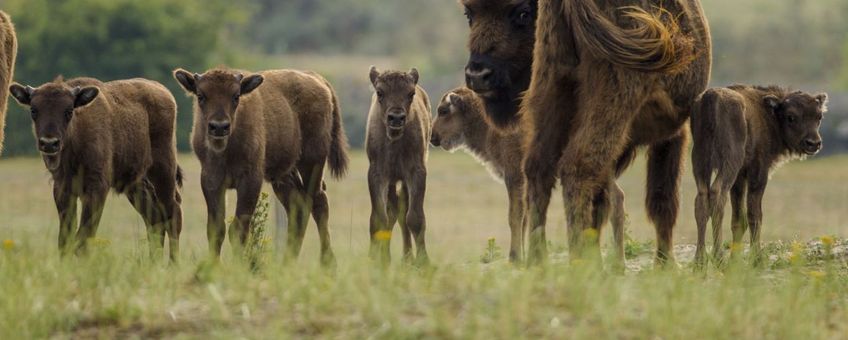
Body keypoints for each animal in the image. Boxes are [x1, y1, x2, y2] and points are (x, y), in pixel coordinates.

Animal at [9, 77, 182, 260]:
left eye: (68, 111)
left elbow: (83, 239)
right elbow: (65, 239)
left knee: (173, 213)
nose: (49, 143)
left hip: (163, 173)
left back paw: (173, 263)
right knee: (154, 220)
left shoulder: (97, 188)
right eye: (33, 110)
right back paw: (154, 262)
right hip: (135, 185)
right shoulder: (62, 189)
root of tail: (164, 91)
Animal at [176, 67, 348, 266]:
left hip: (312, 163)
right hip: (284, 175)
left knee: (318, 203)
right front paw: (212, 266)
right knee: (298, 208)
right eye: (201, 95)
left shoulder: (250, 180)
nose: (219, 127)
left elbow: (238, 229)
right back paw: (287, 263)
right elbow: (216, 229)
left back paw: (328, 263)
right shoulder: (211, 179)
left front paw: (238, 266)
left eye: (236, 96)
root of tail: (316, 79)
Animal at [366, 66, 430, 266]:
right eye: (380, 92)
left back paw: (407, 259)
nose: (396, 118)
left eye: (411, 93)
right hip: (393, 182)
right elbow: (379, 218)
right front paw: (374, 259)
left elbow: (414, 218)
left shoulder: (416, 173)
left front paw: (423, 262)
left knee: (401, 213)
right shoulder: (378, 174)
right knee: (393, 213)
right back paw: (387, 258)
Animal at [460, 0, 712, 264]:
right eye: (469, 14)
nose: (477, 75)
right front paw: (665, 264)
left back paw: (540, 262)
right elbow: (662, 199)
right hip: (612, 100)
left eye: (522, 13)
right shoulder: (674, 133)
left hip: (549, 91)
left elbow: (604, 202)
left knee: (539, 168)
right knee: (577, 169)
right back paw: (579, 261)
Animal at [692, 85, 824, 266]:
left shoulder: (740, 178)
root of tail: (711, 97)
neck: (770, 115)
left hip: (700, 161)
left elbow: (739, 219)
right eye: (791, 117)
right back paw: (718, 260)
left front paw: (735, 261)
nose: (813, 143)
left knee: (702, 199)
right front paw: (757, 260)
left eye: (819, 116)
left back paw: (699, 263)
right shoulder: (759, 172)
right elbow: (755, 214)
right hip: (729, 162)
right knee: (717, 195)